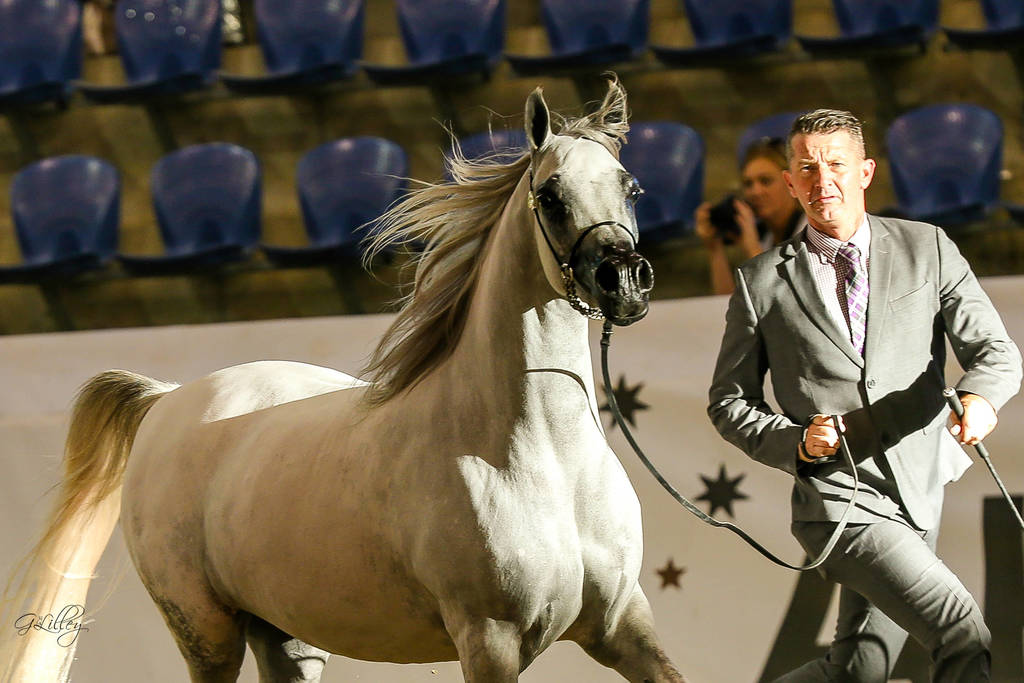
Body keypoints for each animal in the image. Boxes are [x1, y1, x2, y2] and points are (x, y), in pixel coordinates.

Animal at [1, 78, 685, 683]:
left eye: (631, 187)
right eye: (549, 195)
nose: (624, 280)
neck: (541, 459)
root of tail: (166, 401)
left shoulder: (624, 624)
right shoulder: (489, 640)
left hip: (284, 636)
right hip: (206, 632)